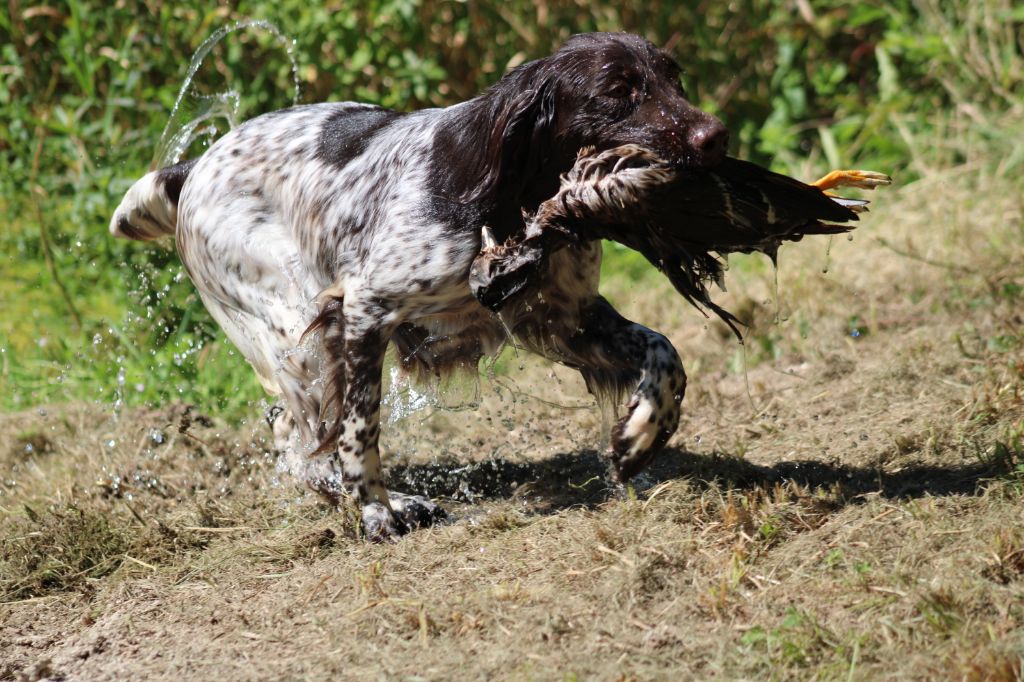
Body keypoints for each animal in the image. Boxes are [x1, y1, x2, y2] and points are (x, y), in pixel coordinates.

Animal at [114, 31, 729, 540]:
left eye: (674, 79)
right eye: (617, 90)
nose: (716, 137)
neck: (511, 199)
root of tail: (193, 167)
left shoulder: (565, 320)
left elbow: (665, 353)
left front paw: (641, 434)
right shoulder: (365, 307)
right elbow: (359, 430)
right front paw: (375, 512)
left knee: (294, 440)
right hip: (297, 324)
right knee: (299, 444)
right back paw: (399, 502)